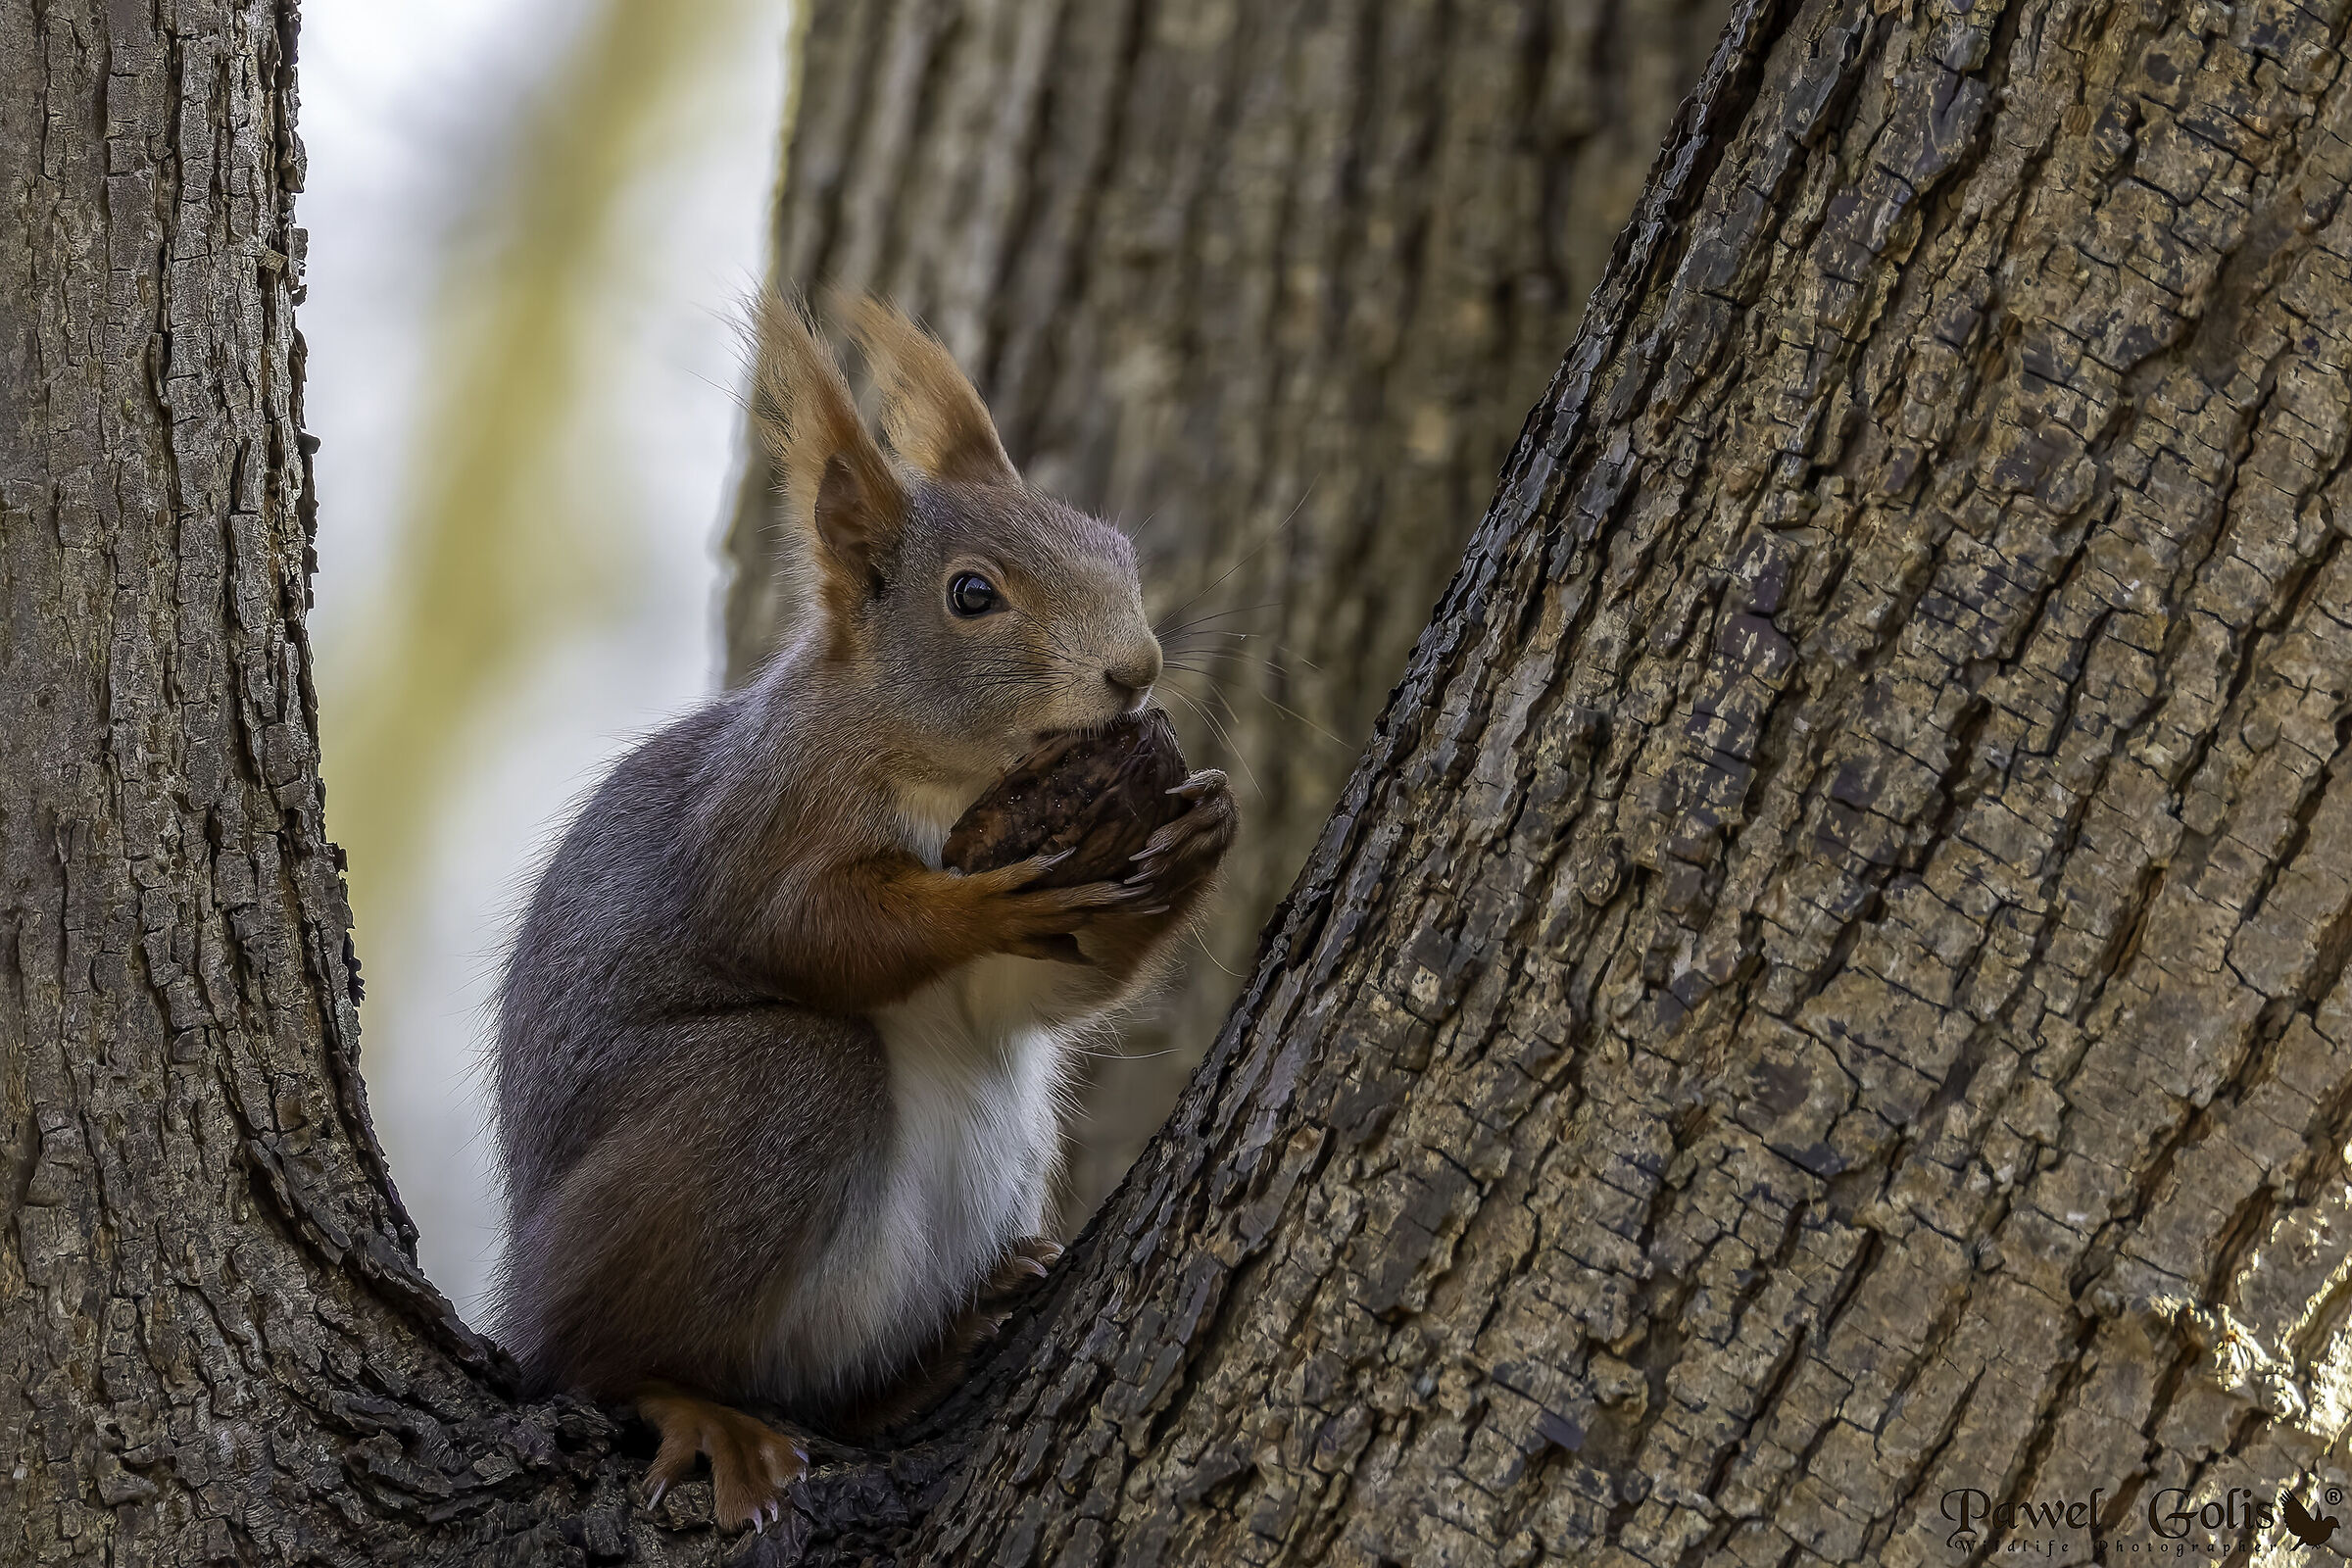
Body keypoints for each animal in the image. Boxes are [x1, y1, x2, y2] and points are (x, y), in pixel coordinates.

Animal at [487, 296, 1236, 1530]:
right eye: (973, 595)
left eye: (1115, 549)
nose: (1137, 669)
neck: (944, 772)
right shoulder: (756, 824)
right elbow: (812, 936)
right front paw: (979, 900)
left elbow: (1038, 989)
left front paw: (1191, 845)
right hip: (750, 1110)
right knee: (600, 1355)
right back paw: (696, 1407)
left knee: (844, 1391)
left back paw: (951, 1338)